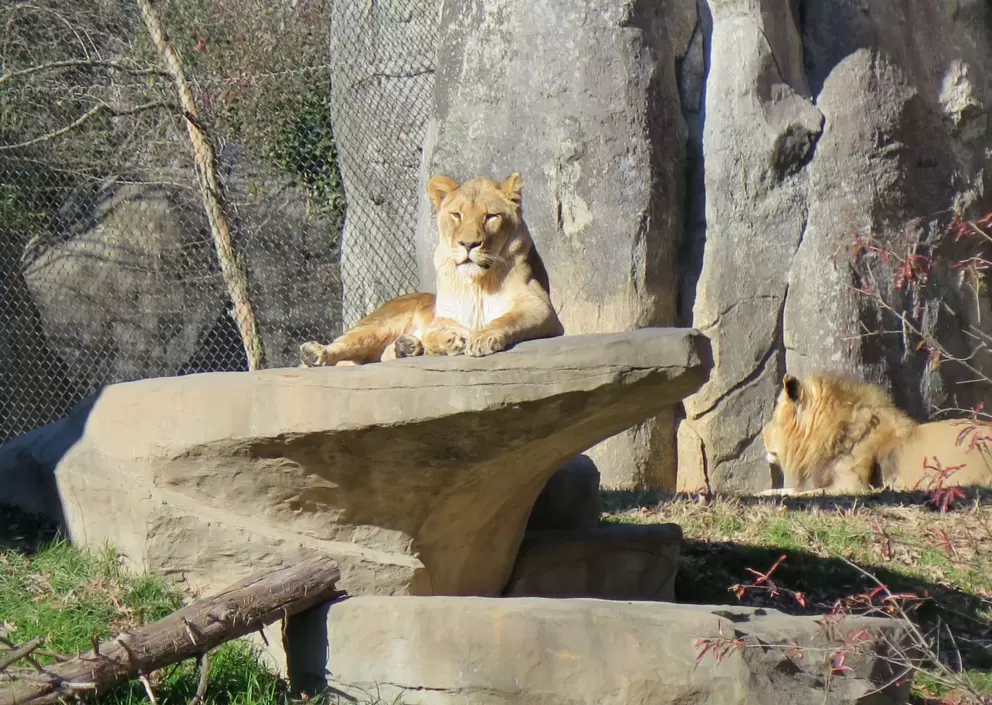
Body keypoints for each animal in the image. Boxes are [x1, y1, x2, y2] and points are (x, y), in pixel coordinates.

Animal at [299, 172, 564, 367]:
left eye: (491, 216)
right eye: (456, 215)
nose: (468, 244)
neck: (477, 282)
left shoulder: (540, 307)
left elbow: (507, 319)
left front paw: (482, 337)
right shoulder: (443, 317)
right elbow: (432, 332)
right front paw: (451, 339)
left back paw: (406, 347)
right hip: (377, 325)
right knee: (345, 345)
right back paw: (315, 353)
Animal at [758, 373, 992, 496]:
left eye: (774, 418)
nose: (762, 434)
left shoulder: (853, 486)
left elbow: (802, 493)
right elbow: (789, 491)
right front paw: (765, 494)